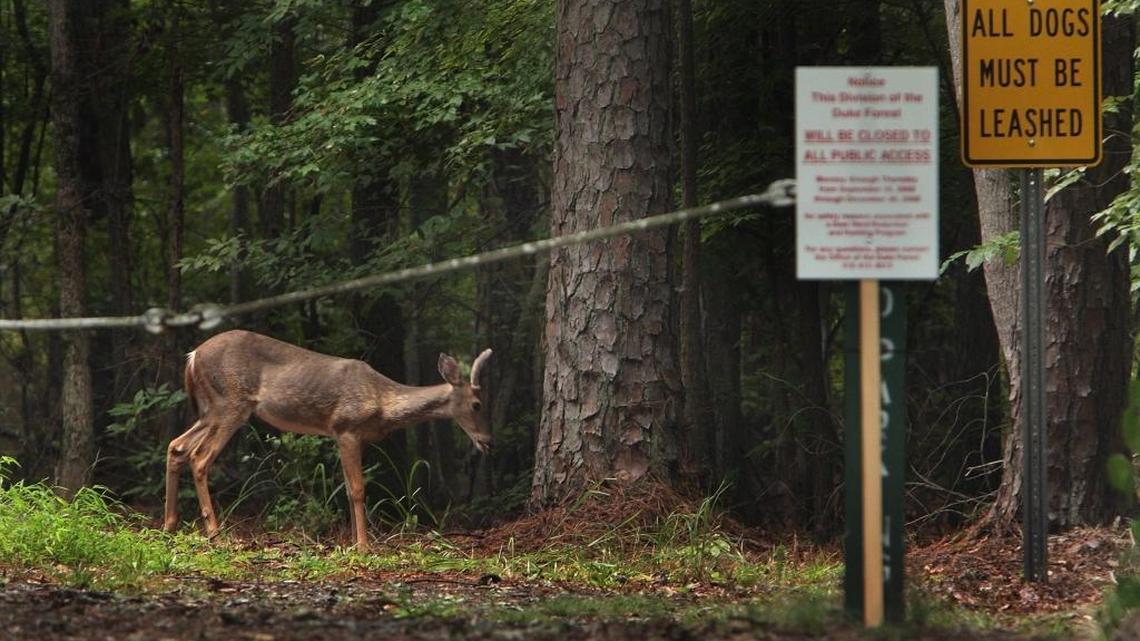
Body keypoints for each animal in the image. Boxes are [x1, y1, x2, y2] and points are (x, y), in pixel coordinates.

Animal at [163, 329, 492, 550]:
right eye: (477, 405)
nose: (488, 441)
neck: (383, 401)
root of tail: (193, 356)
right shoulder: (347, 427)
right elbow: (357, 489)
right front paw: (363, 547)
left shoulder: (344, 435)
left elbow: (346, 488)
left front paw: (355, 542)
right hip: (230, 402)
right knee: (200, 457)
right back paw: (214, 533)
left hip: (211, 408)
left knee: (177, 446)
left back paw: (170, 526)